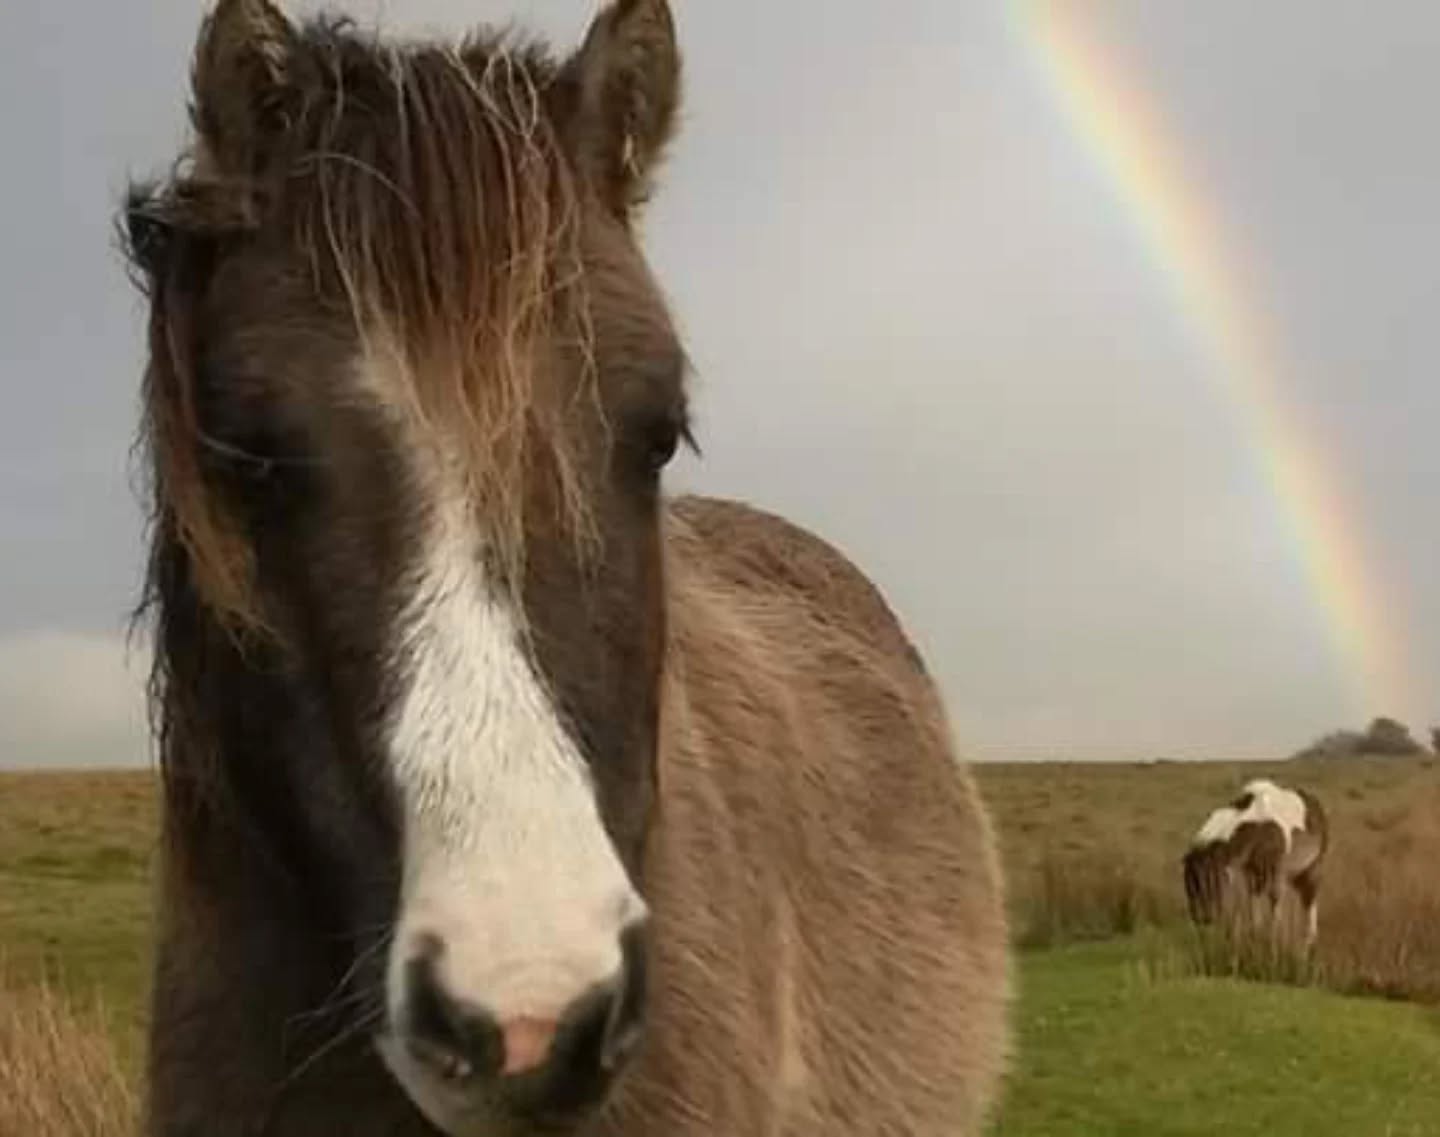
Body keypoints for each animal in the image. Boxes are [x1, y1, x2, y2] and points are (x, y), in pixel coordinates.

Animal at [1182, 778, 1328, 949]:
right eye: (1189, 883)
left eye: (1209, 879)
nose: (1201, 919)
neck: (1257, 828)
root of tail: (1314, 802)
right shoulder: (1250, 872)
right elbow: (1252, 903)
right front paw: (1254, 937)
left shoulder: (1276, 873)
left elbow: (1274, 905)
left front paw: (1273, 942)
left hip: (1313, 868)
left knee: (1310, 900)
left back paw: (1309, 940)